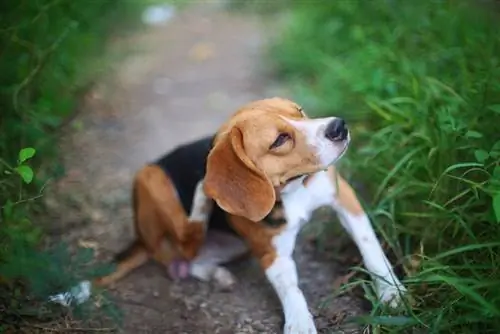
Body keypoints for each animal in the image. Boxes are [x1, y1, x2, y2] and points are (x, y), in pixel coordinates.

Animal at [52, 98, 406, 332]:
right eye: (280, 139)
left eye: (300, 112)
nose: (338, 126)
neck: (291, 189)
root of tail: (142, 240)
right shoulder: (271, 255)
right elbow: (291, 289)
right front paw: (299, 323)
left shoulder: (343, 196)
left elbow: (370, 248)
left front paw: (391, 292)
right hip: (150, 177)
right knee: (185, 241)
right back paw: (201, 200)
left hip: (234, 245)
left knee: (189, 259)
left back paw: (215, 271)